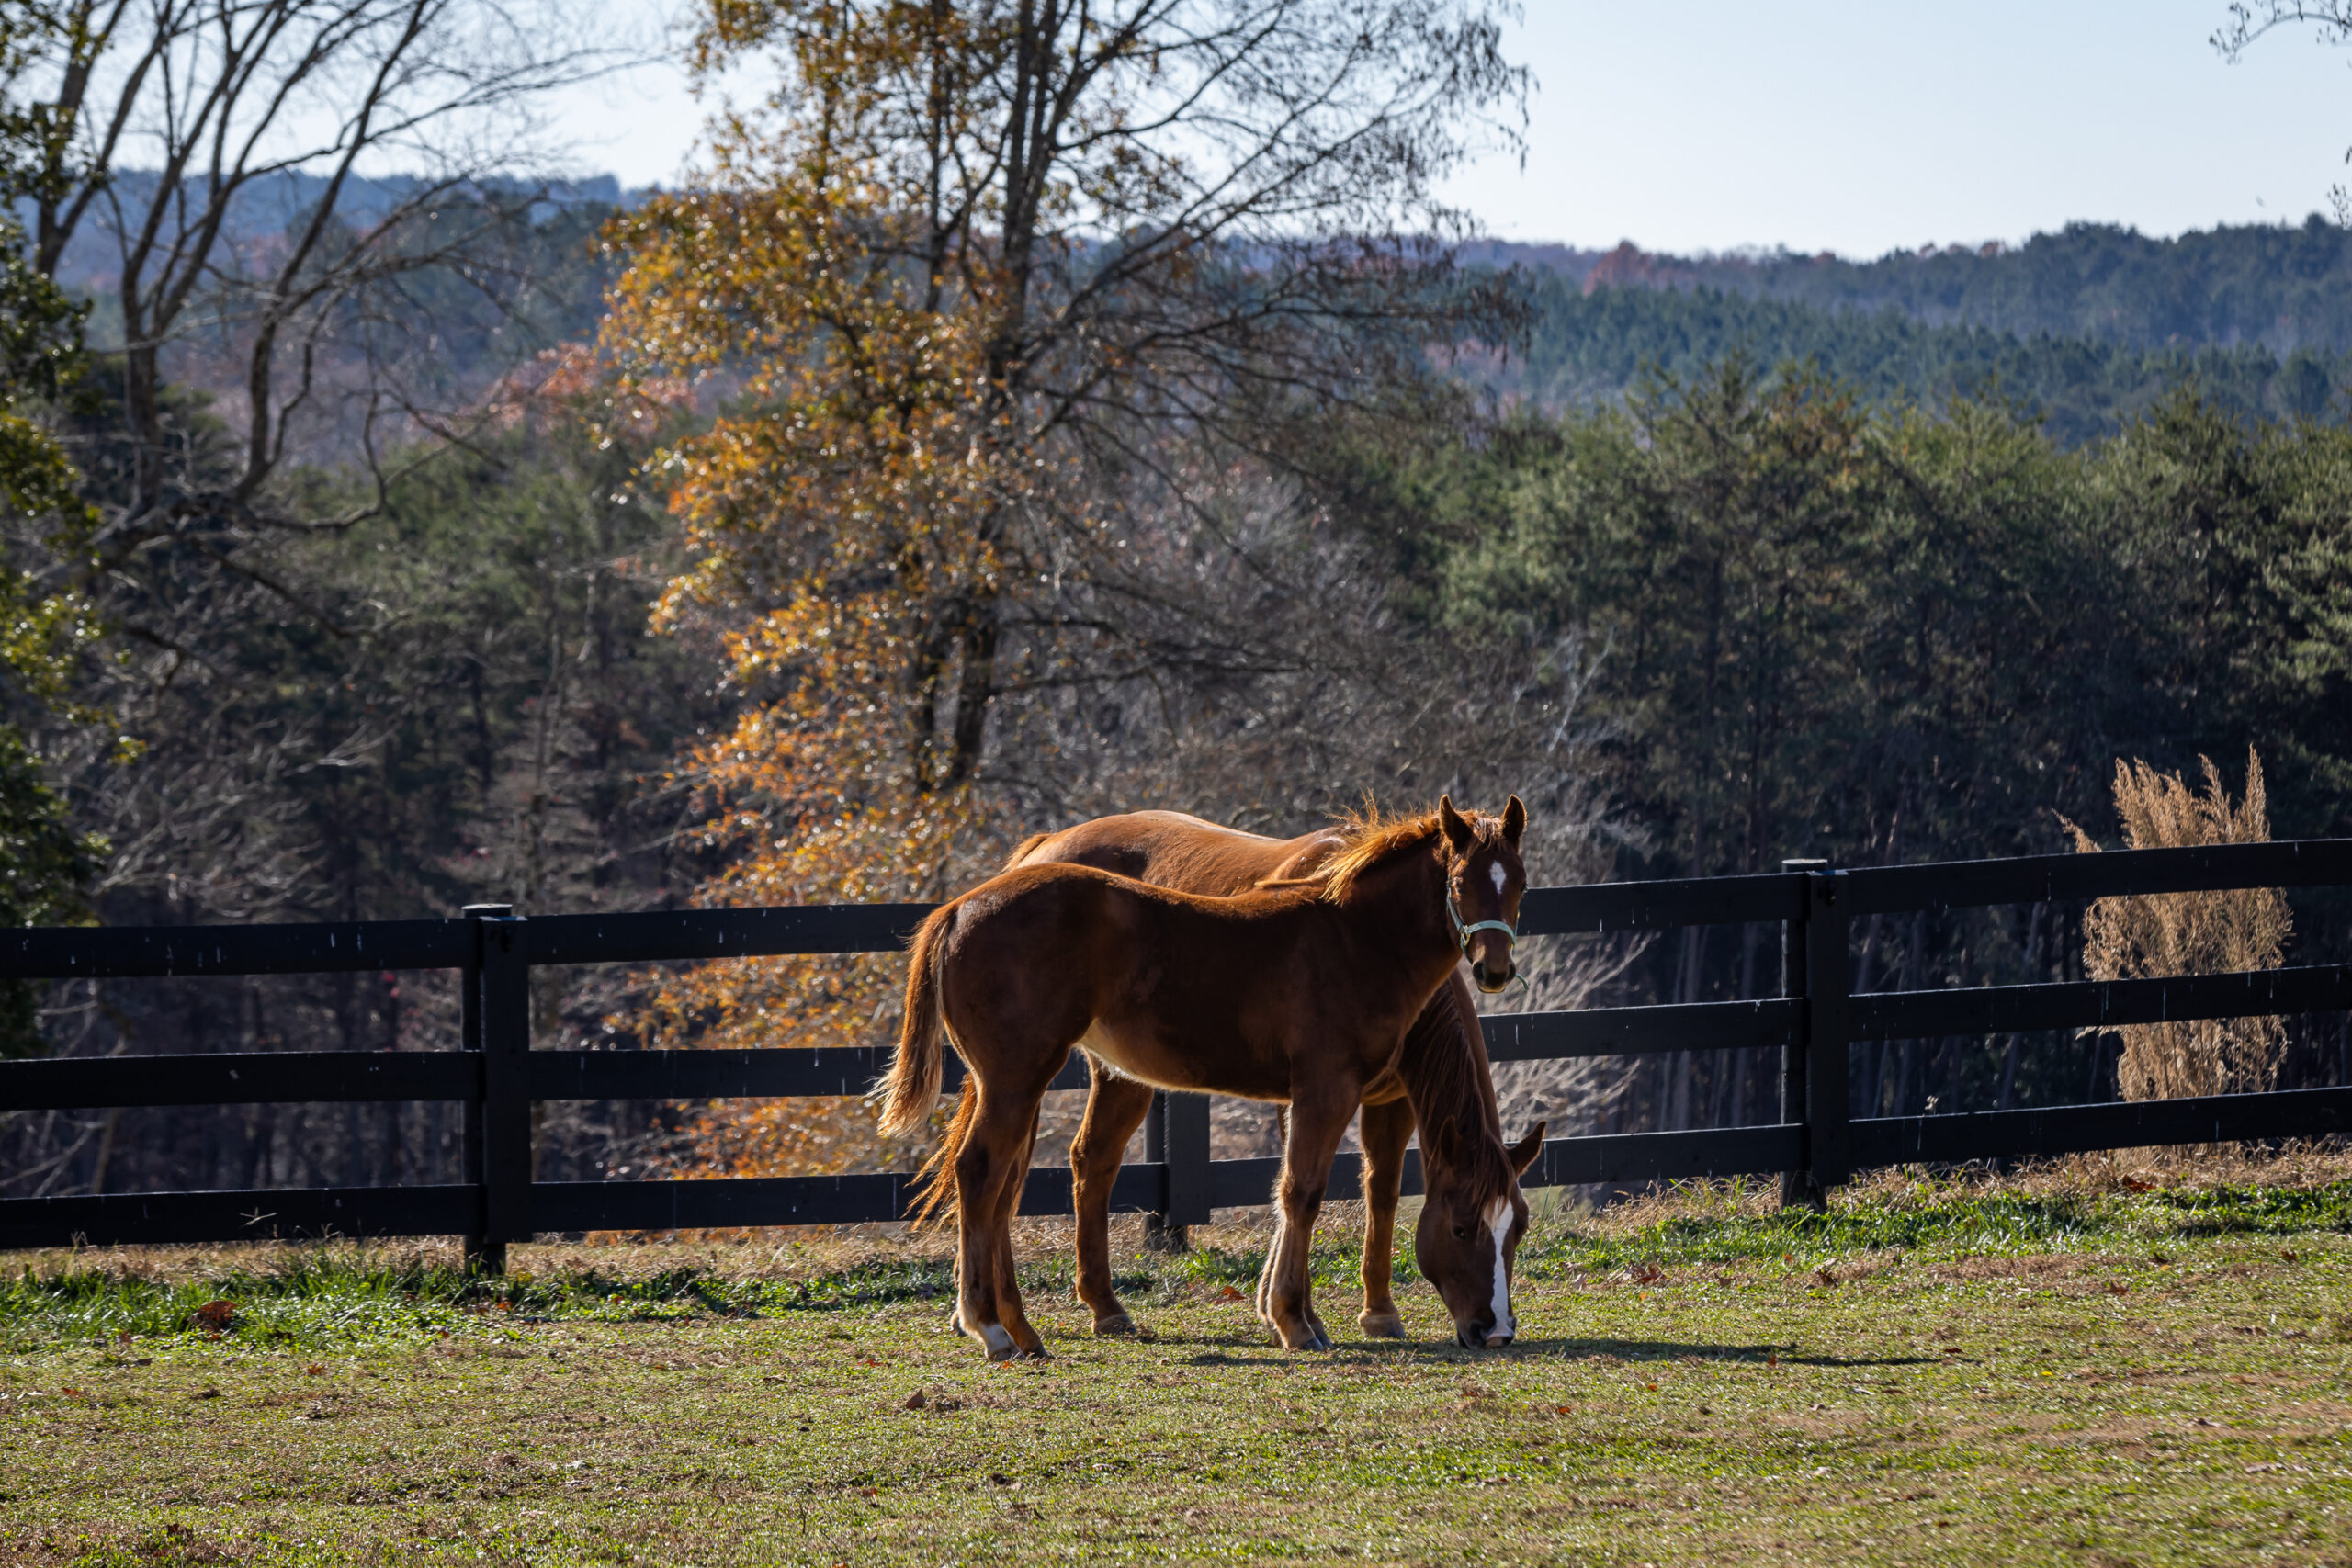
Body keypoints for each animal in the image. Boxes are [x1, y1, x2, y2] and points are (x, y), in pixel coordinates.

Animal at [880, 796, 1534, 1361]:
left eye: (1521, 884)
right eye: (1462, 1227)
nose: (1494, 1330)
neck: (1355, 936)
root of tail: (958, 908)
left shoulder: (1349, 1096)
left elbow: (1319, 1190)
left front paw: (1303, 1314)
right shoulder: (1325, 1089)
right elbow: (1303, 1192)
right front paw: (1295, 1321)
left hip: (1031, 1082)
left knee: (1014, 1181)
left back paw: (1027, 1328)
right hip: (1016, 1079)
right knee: (982, 1172)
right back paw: (991, 1328)